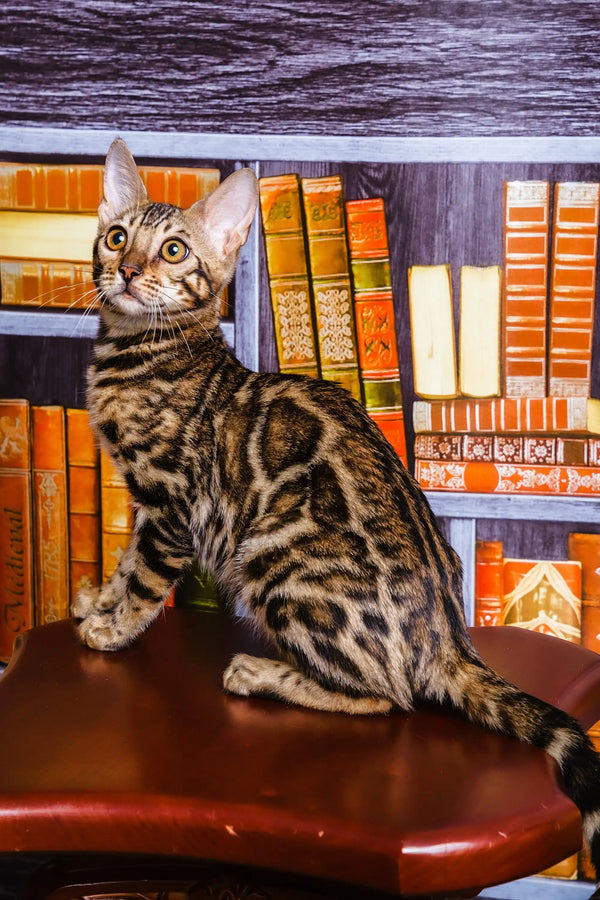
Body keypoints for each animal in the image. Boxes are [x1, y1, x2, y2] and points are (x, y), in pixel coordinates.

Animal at [75, 137, 600, 888]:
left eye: (172, 251)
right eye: (117, 237)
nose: (127, 270)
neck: (141, 349)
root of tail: (446, 636)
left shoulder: (172, 505)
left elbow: (145, 583)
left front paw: (114, 631)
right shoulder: (144, 502)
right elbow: (124, 565)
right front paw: (98, 604)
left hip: (274, 557)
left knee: (387, 695)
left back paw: (260, 673)